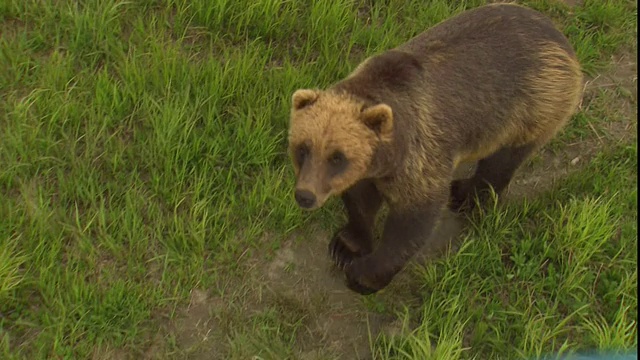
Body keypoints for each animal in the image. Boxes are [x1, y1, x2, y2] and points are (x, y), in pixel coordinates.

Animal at [288, 3, 584, 296]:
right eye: (302, 148)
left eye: (337, 157)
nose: (305, 195)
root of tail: (560, 37)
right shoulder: (369, 168)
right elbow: (360, 200)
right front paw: (346, 246)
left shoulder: (419, 155)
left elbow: (412, 221)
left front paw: (364, 275)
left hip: (529, 109)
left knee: (501, 162)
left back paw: (464, 195)